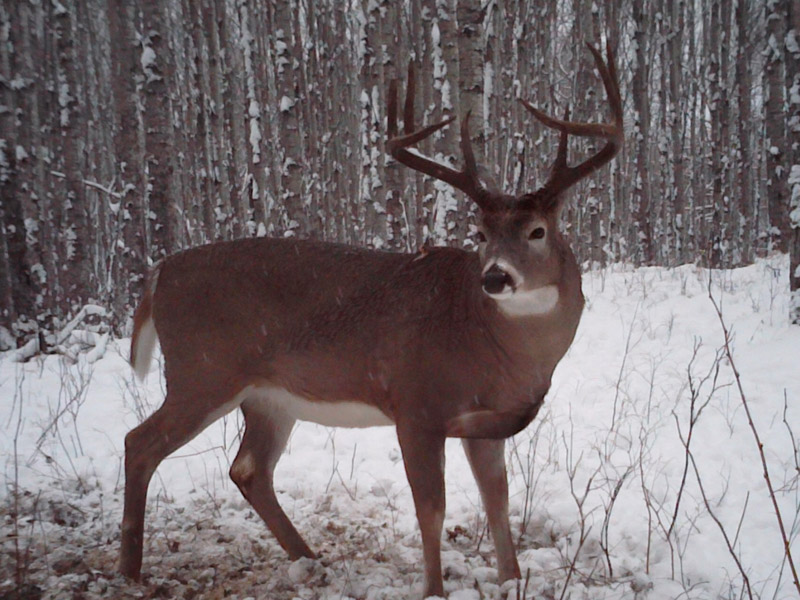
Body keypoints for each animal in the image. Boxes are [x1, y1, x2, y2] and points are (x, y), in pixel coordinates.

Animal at [119, 43, 620, 600]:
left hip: (267, 397)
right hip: (202, 372)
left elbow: (498, 502)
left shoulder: (486, 423)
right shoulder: (416, 406)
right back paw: (130, 570)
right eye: (480, 233)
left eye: (537, 231)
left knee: (248, 469)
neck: (491, 346)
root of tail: (159, 273)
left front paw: (512, 580)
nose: (495, 277)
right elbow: (431, 509)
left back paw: (309, 560)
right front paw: (434, 590)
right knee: (139, 444)